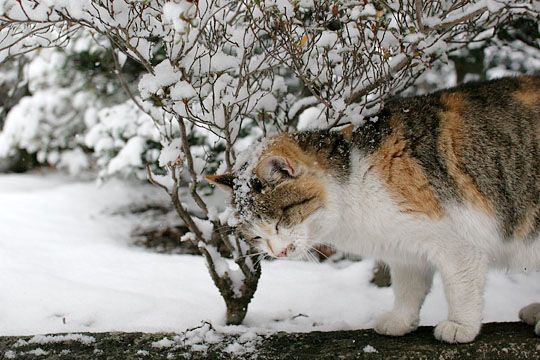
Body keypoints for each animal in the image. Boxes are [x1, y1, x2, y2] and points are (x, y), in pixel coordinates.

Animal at [207, 76, 540, 344]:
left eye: (279, 220)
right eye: (255, 236)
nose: (278, 252)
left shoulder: (458, 242)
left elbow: (461, 286)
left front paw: (460, 325)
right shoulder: (407, 247)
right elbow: (408, 287)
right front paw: (400, 320)